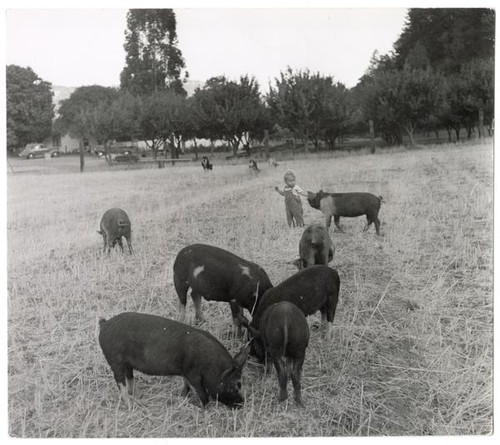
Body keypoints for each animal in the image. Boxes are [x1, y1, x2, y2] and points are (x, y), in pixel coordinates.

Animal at [97, 310, 248, 408]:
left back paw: (136, 394)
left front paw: (182, 396)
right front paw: (201, 407)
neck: (212, 366)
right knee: (120, 382)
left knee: (129, 377)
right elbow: (202, 393)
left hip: (127, 363)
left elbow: (186, 384)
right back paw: (130, 405)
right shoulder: (193, 374)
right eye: (236, 385)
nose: (242, 403)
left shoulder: (186, 372)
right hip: (114, 360)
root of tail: (104, 324)